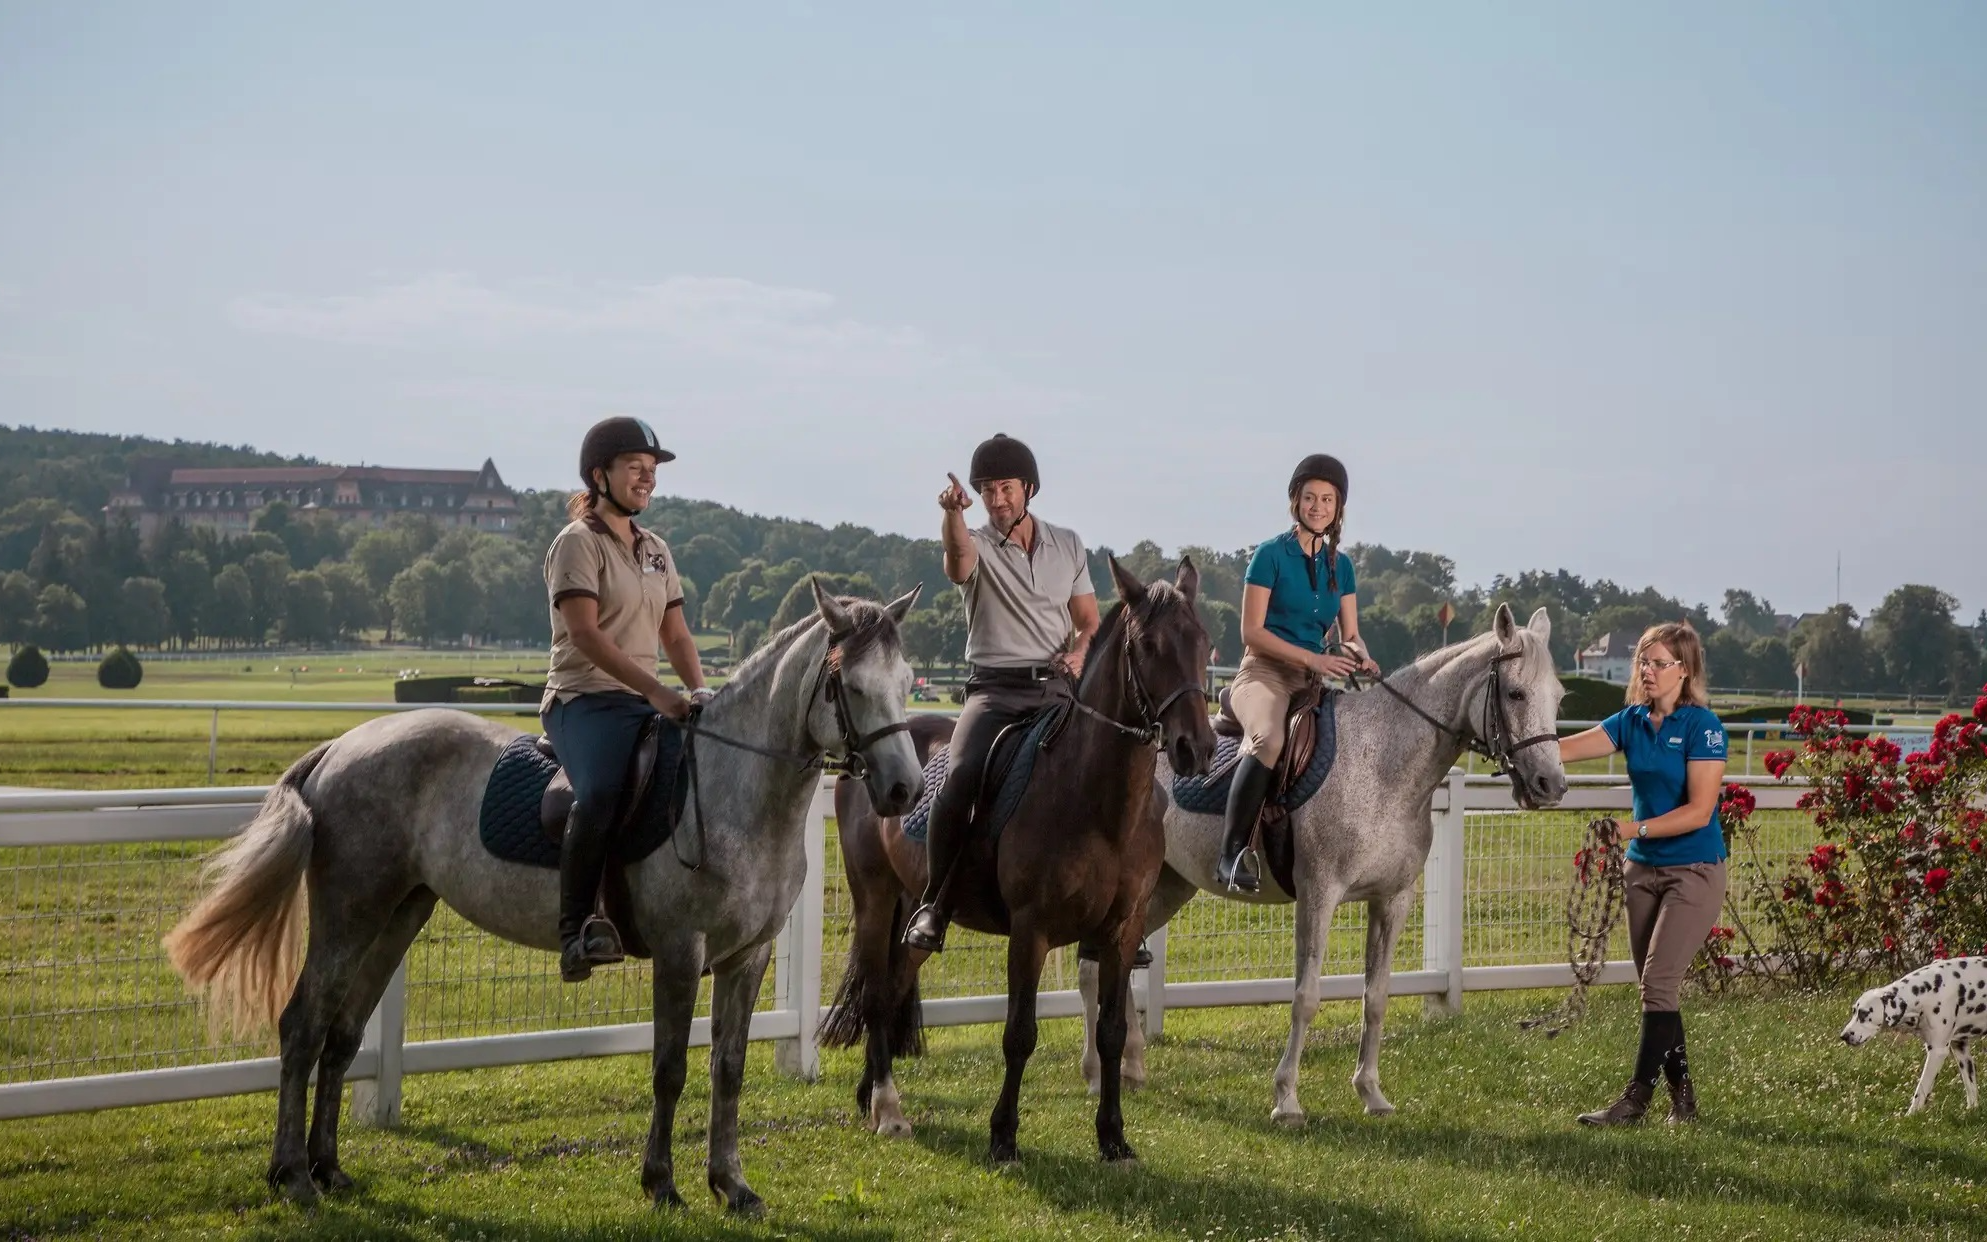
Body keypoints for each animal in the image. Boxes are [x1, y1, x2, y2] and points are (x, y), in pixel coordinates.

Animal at [162, 580, 921, 1208]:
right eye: (852, 687)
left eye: (908, 684)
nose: (903, 790)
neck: (734, 786)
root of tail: (343, 745)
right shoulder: (681, 953)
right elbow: (671, 1068)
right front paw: (661, 1183)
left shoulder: (748, 957)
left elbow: (727, 1070)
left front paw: (730, 1185)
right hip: (349, 913)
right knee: (303, 1025)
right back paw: (291, 1174)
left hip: (399, 913)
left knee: (343, 1035)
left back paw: (329, 1168)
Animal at [818, 560, 1208, 1160]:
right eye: (1148, 645)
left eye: (1204, 642)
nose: (1197, 747)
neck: (1097, 801)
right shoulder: (1031, 930)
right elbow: (1019, 1033)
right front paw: (1003, 1135)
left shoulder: (1122, 931)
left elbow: (1112, 1033)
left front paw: (1113, 1137)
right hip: (874, 898)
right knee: (879, 995)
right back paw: (886, 1107)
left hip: (914, 905)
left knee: (897, 979)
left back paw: (870, 1091)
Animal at [1088, 600, 1565, 1120]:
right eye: (1516, 693)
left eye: (1559, 696)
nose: (1552, 785)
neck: (1381, 766)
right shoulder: (1319, 895)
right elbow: (1306, 997)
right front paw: (1287, 1098)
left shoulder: (1393, 900)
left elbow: (1376, 996)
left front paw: (1371, 1091)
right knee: (1094, 968)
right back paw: (1094, 1073)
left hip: (1169, 886)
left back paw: (1130, 1067)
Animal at [1835, 953, 1987, 1120]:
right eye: (1854, 1011)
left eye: (1863, 1013)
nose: (1844, 1036)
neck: (1930, 991)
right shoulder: (1960, 1048)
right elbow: (1970, 1086)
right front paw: (1972, 1110)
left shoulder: (1937, 1051)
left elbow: (1921, 1090)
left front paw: (1911, 1114)